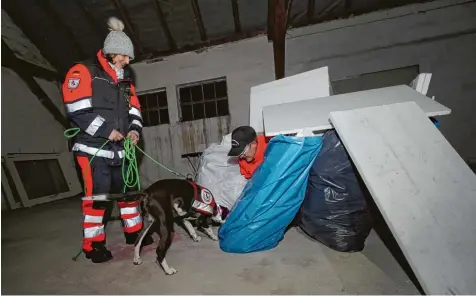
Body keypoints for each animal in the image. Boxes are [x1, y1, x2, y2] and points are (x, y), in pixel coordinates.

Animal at [86, 178, 225, 276]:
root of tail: (147, 192)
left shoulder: (183, 216)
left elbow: (189, 225)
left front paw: (195, 237)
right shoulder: (202, 217)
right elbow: (206, 227)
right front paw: (214, 237)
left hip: (148, 223)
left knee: (137, 242)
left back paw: (137, 258)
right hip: (166, 227)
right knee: (159, 251)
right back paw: (168, 270)